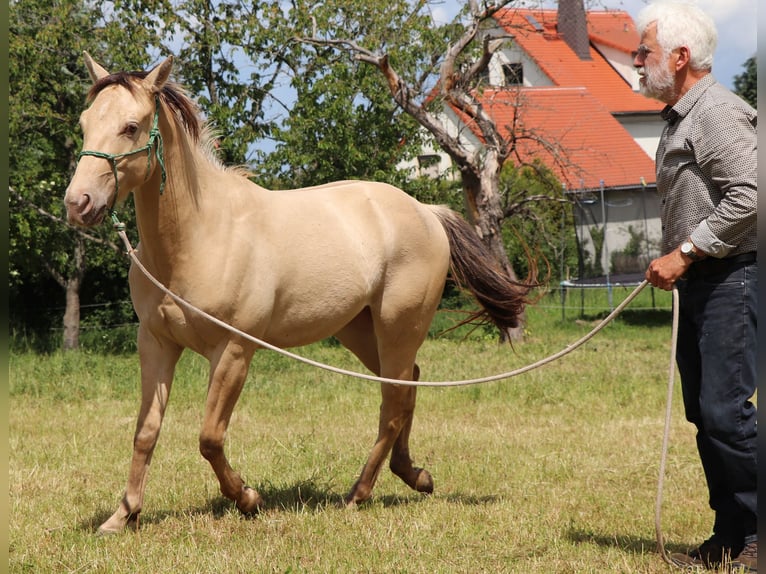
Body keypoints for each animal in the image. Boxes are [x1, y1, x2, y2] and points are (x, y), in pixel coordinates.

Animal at [64, 54, 536, 536]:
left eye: (131, 126)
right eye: (85, 122)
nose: (77, 204)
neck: (202, 236)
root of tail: (427, 211)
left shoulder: (233, 351)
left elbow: (209, 438)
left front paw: (248, 498)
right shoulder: (157, 344)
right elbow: (146, 432)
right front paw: (122, 515)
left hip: (398, 328)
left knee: (392, 403)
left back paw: (358, 493)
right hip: (360, 331)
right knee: (408, 387)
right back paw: (413, 475)